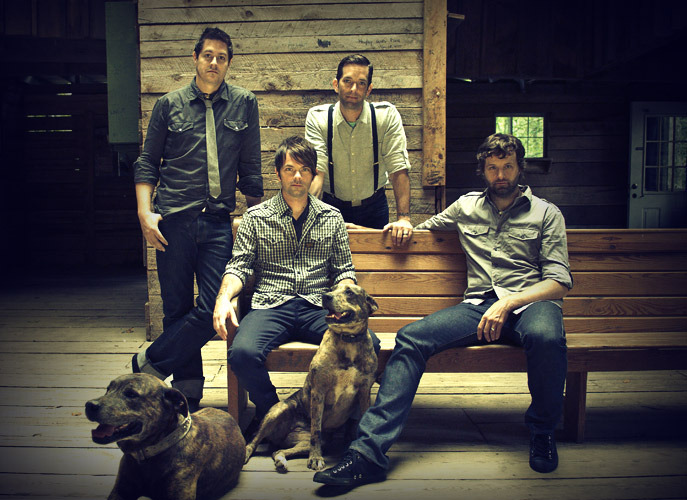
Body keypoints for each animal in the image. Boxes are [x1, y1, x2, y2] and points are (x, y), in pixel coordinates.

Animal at [244, 282, 379, 473]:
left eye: (349, 292)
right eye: (332, 288)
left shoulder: (364, 392)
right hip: (277, 411)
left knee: (278, 450)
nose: (326, 296)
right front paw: (315, 458)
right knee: (255, 440)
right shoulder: (318, 391)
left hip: (303, 442)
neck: (347, 340)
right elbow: (316, 429)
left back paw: (281, 459)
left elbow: (362, 420)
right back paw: (246, 452)